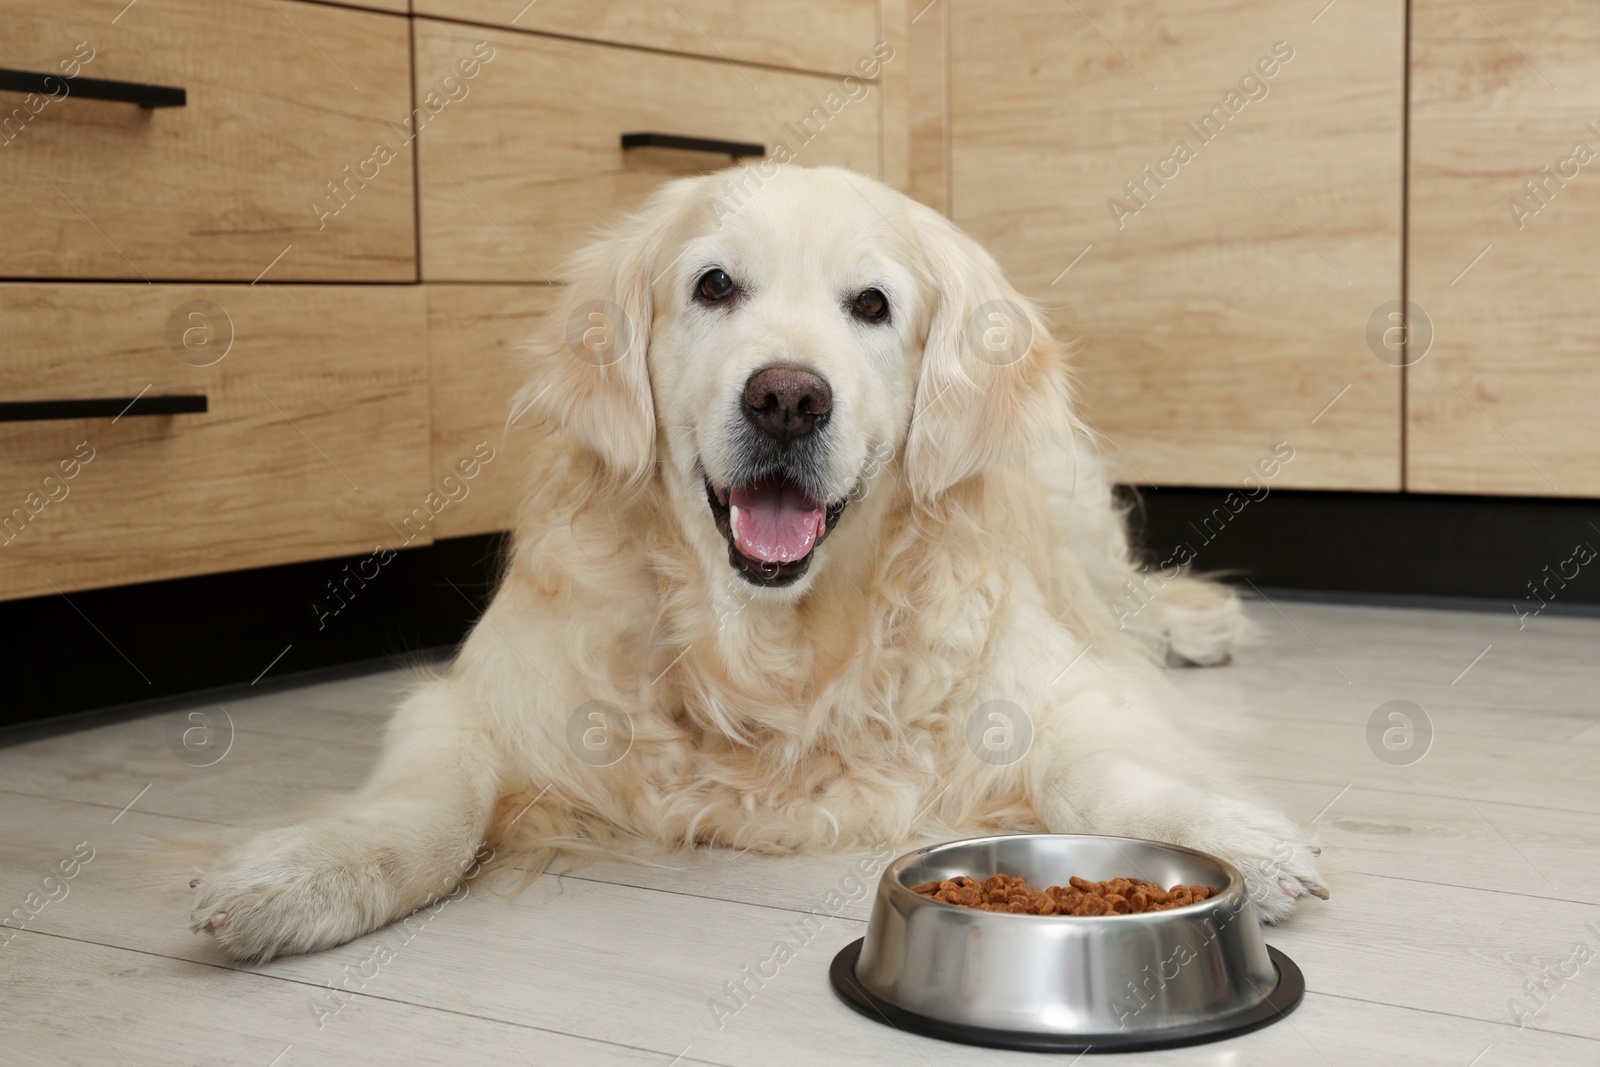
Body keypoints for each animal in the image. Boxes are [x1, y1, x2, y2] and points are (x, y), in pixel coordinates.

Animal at [190, 164, 1324, 959]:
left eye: (871, 304)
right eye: (714, 285)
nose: (786, 397)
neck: (772, 646)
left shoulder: (1059, 681)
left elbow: (1101, 765)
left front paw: (1236, 839)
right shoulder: (479, 698)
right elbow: (428, 801)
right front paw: (305, 872)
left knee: (1127, 600)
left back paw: (1198, 627)